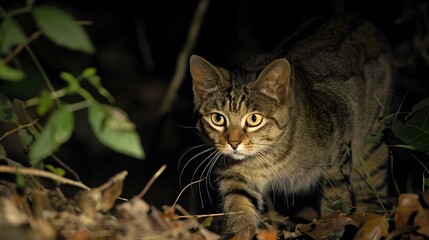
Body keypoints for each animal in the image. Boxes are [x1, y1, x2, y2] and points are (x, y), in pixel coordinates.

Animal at [189, 15, 390, 238]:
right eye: (218, 118)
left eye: (254, 119)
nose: (233, 143)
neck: (271, 157)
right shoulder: (235, 174)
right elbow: (238, 204)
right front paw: (240, 231)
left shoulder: (339, 151)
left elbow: (335, 198)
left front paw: (332, 228)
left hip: (371, 144)